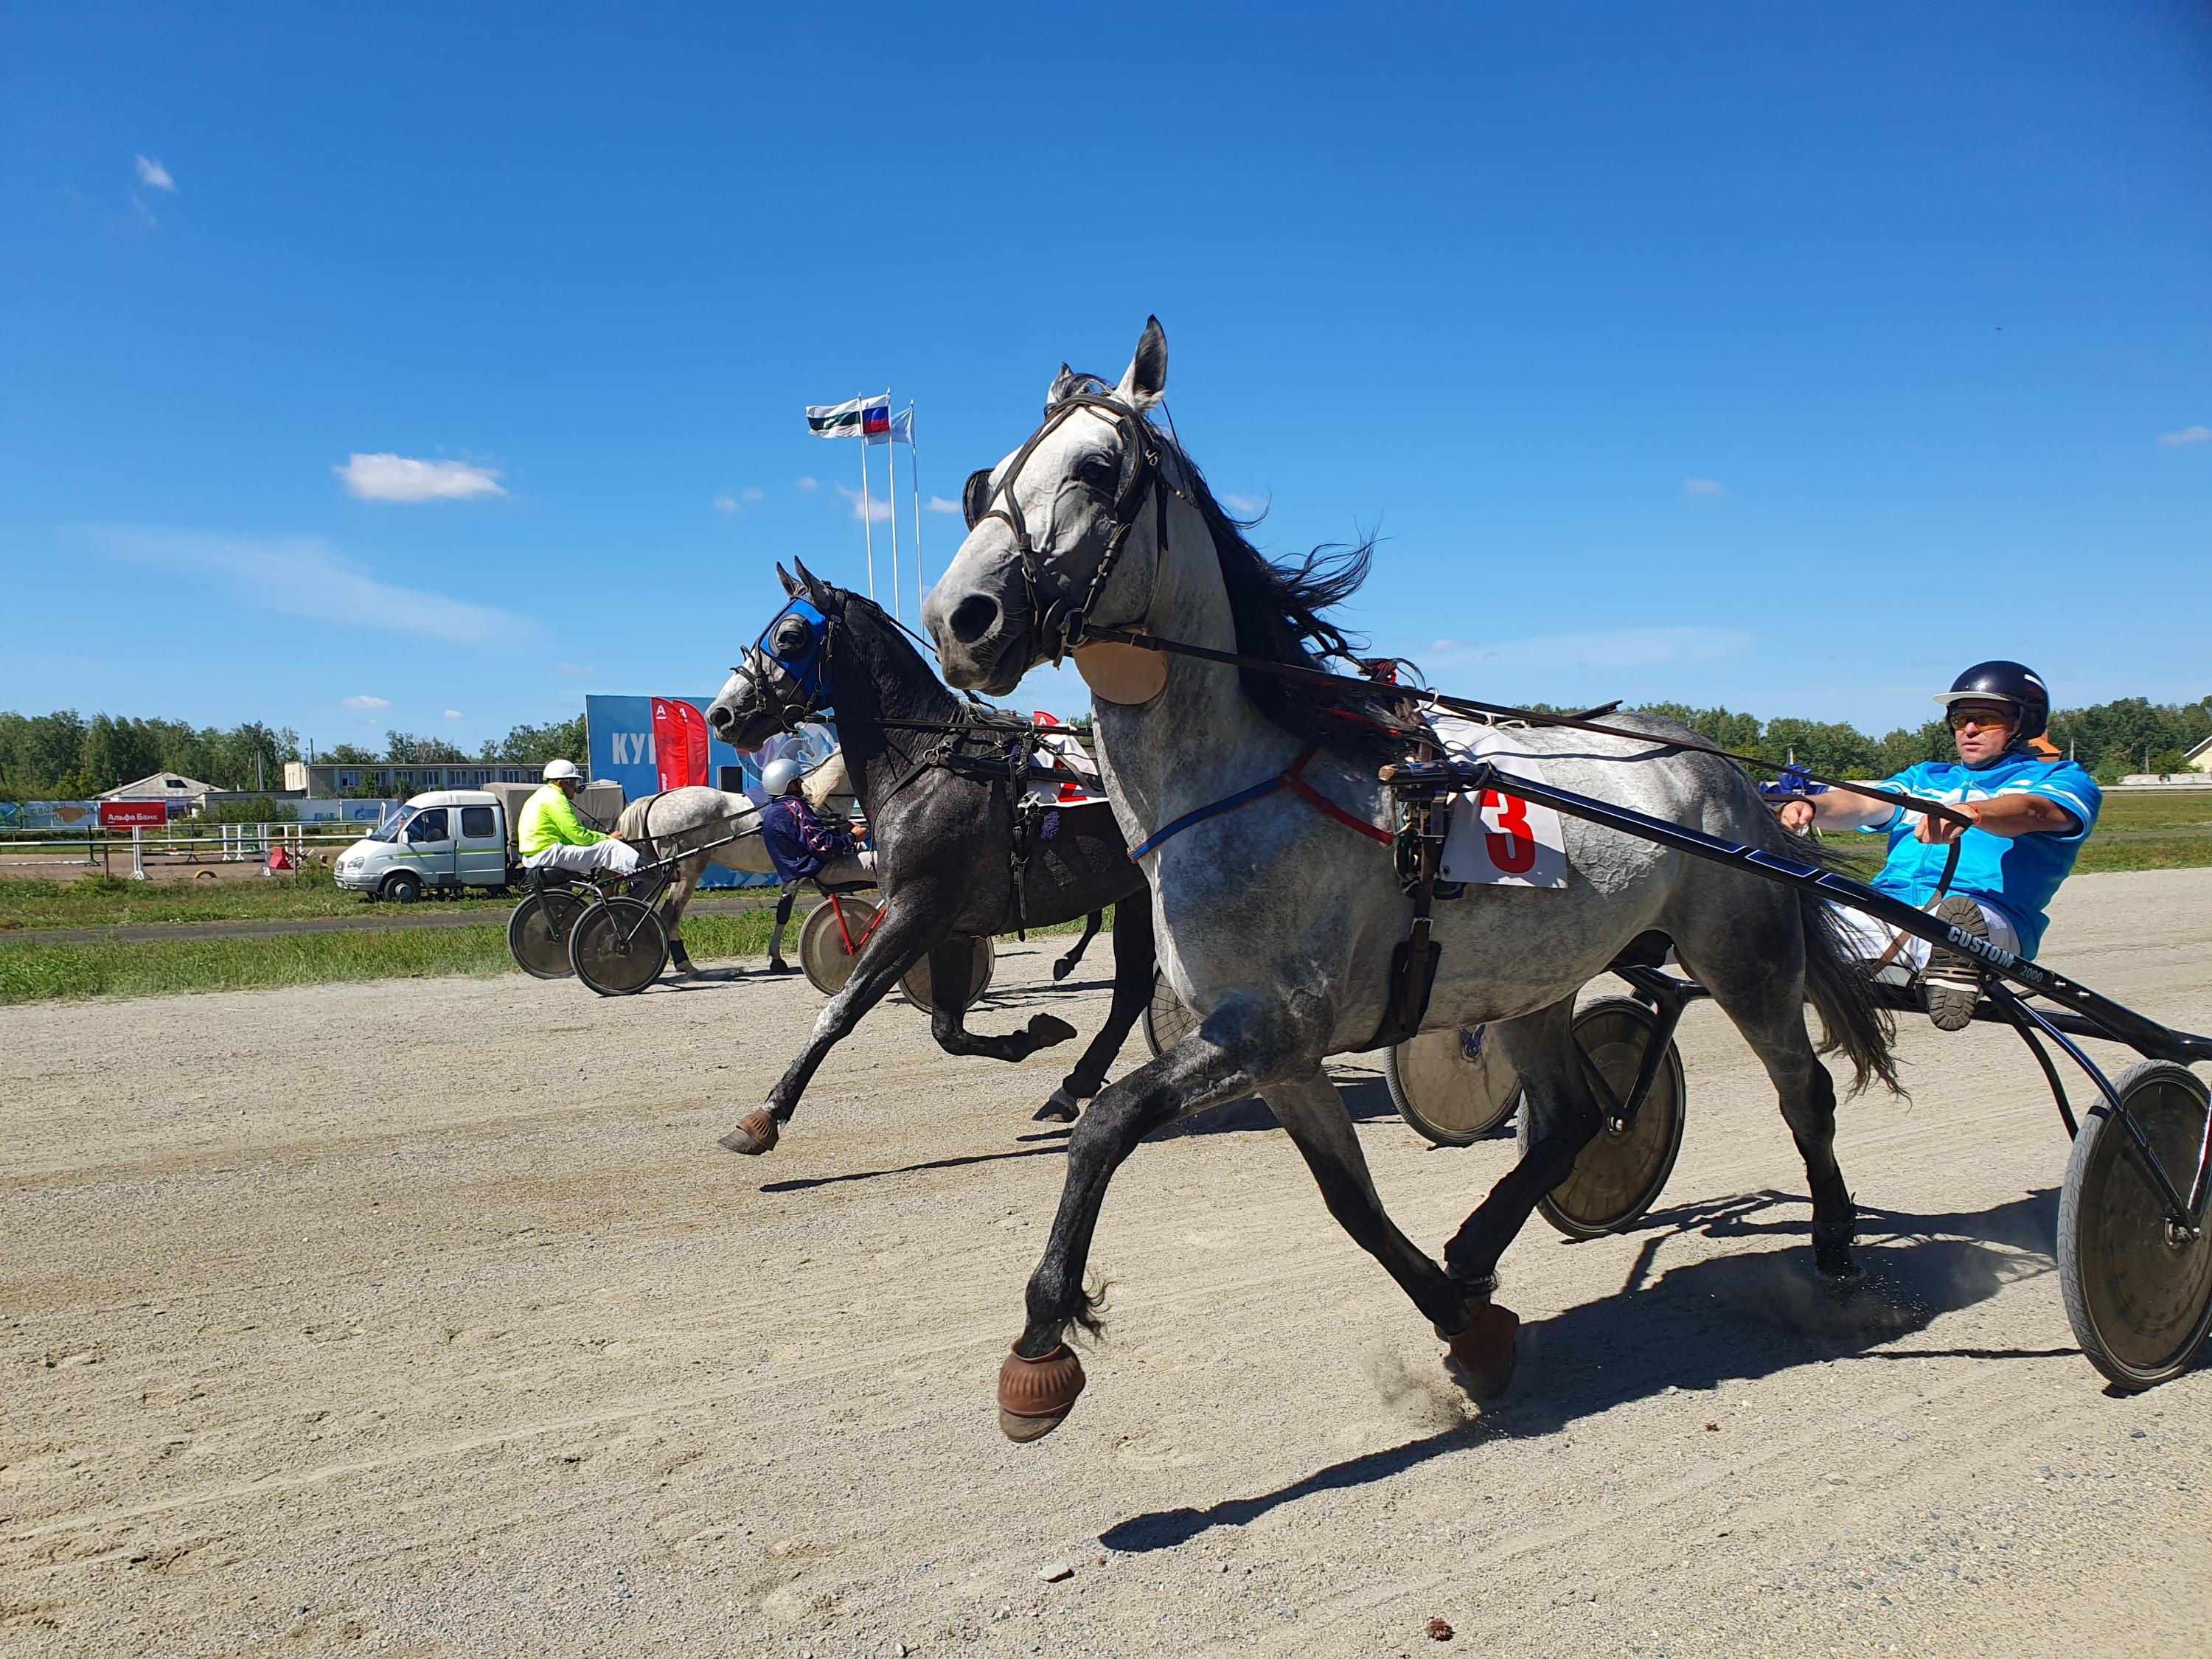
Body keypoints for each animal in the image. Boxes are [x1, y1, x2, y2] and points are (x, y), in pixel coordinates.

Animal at [708, 571, 1159, 1159]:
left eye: (790, 637)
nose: (721, 714)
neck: (931, 764)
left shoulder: (915, 910)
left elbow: (840, 1011)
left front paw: (764, 1116)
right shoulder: (949, 927)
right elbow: (948, 1031)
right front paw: (1032, 1035)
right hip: (1135, 893)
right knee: (1129, 992)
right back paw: (1071, 1087)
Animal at [925, 321, 1893, 1442]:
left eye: (1095, 468)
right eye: (983, 481)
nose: (958, 618)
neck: (1244, 780)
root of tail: (1717, 762)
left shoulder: (1269, 1030)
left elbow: (1104, 1126)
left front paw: (1039, 1342)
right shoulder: (1282, 1056)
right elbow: (1353, 1205)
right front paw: (1467, 1324)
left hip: (1744, 953)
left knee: (1802, 1089)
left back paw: (1836, 1253)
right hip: (1533, 982)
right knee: (1570, 1117)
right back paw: (1478, 1246)